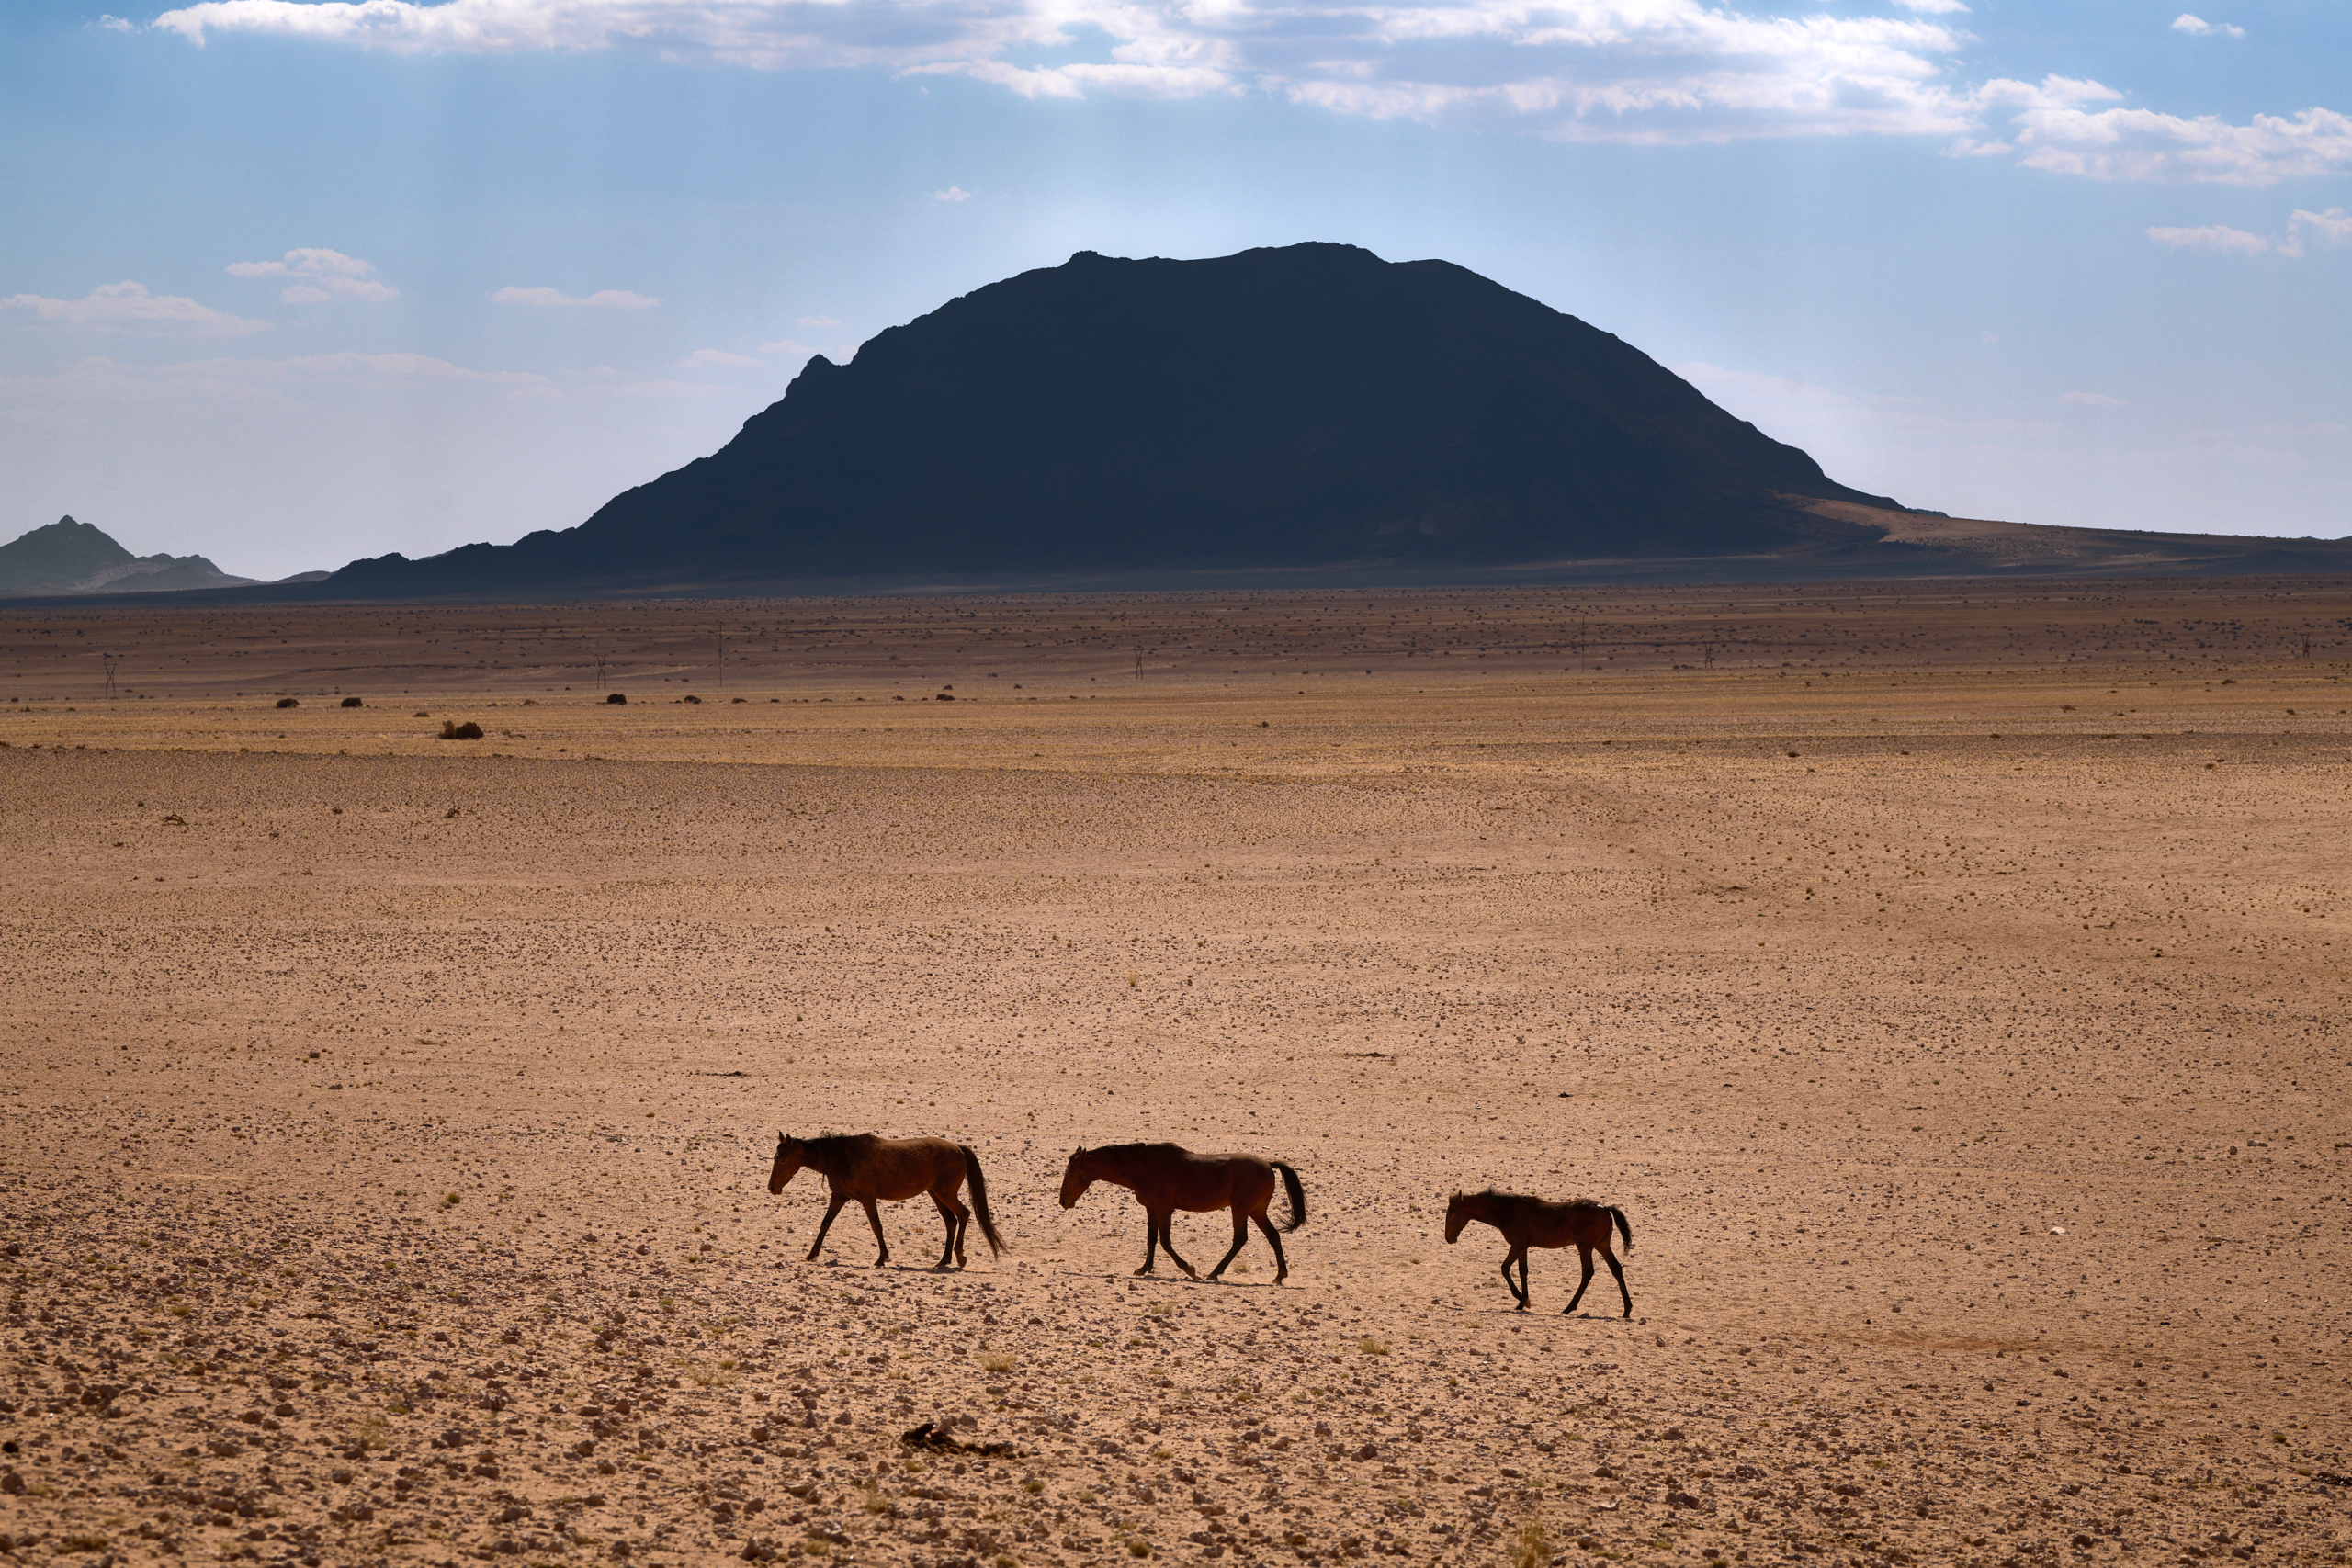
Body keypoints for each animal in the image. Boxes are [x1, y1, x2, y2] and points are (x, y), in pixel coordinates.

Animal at [762, 1133, 1001, 1269]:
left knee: (963, 1215)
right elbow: (825, 1224)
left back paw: (959, 1257)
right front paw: (811, 1254)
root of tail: (958, 1147)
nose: (772, 1187)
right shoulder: (839, 1197)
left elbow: (876, 1226)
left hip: (945, 1194)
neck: (841, 1158)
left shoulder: (867, 1199)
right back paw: (943, 1260)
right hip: (935, 1194)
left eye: (783, 1159)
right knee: (951, 1221)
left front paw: (882, 1258)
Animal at [1063, 1142, 1307, 1288]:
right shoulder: (1151, 1209)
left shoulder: (1164, 1209)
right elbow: (1151, 1240)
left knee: (1240, 1239)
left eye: (1072, 1174)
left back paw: (1214, 1273)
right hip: (1256, 1211)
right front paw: (1144, 1268)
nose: (1062, 1201)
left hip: (1241, 1210)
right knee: (1273, 1236)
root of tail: (1268, 1163)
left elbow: (1165, 1242)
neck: (1143, 1167)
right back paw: (1279, 1276)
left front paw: (1190, 1270)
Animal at [1430, 1194, 1636, 1316]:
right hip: (1602, 1245)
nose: (1448, 1238)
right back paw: (1627, 1309)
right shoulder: (1524, 1247)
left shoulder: (1517, 1244)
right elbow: (1523, 1271)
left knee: (1588, 1272)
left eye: (1451, 1215)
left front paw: (1523, 1300)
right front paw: (1522, 1302)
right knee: (1616, 1268)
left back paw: (1569, 1307)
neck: (1506, 1211)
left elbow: (1505, 1268)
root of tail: (1605, 1207)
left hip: (1585, 1246)